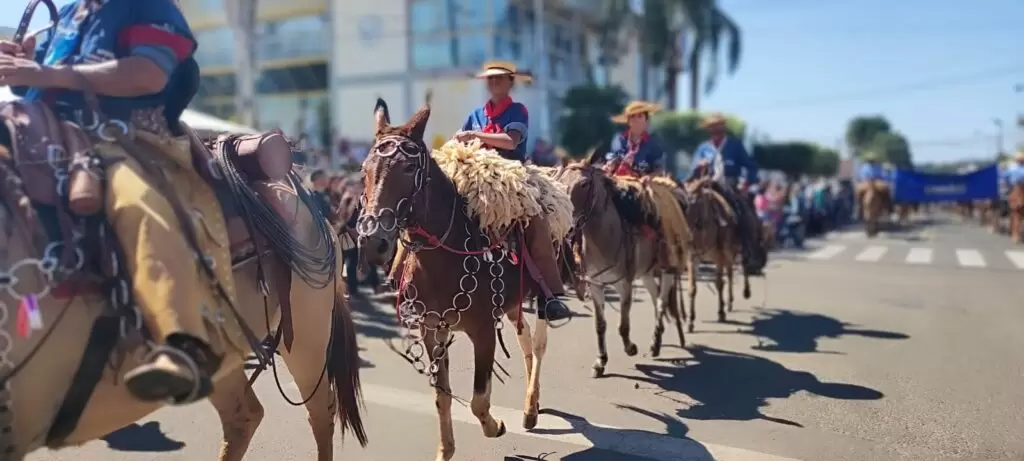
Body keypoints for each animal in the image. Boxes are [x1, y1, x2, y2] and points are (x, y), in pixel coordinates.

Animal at [358, 95, 552, 458]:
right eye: (365, 169)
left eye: (409, 168)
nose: (373, 242)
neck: (443, 257)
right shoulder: (432, 330)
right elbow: (441, 396)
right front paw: (445, 449)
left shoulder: (483, 330)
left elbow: (478, 401)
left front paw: (495, 425)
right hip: (513, 304)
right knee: (525, 342)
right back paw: (530, 405)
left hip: (544, 291)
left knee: (539, 342)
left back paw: (531, 407)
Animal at [552, 161, 688, 379]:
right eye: (559, 181)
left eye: (584, 184)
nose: (564, 222)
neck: (605, 237)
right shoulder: (596, 285)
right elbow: (600, 325)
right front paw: (600, 362)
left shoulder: (625, 284)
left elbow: (623, 325)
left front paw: (630, 348)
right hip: (646, 273)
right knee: (655, 296)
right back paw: (656, 340)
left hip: (667, 267)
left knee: (661, 302)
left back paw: (655, 343)